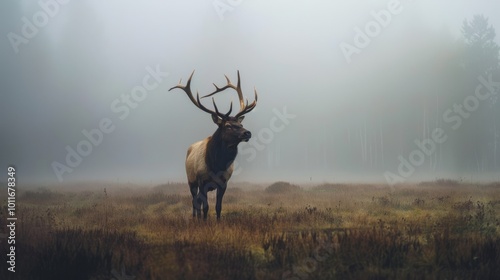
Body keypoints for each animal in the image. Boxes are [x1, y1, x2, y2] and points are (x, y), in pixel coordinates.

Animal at [170, 70, 260, 221]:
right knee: (194, 200)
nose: (247, 133)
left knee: (197, 201)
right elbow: (206, 207)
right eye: (228, 125)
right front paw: (204, 222)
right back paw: (195, 218)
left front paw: (217, 222)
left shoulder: (224, 183)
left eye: (240, 124)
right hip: (191, 180)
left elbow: (218, 207)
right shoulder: (202, 180)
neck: (217, 165)